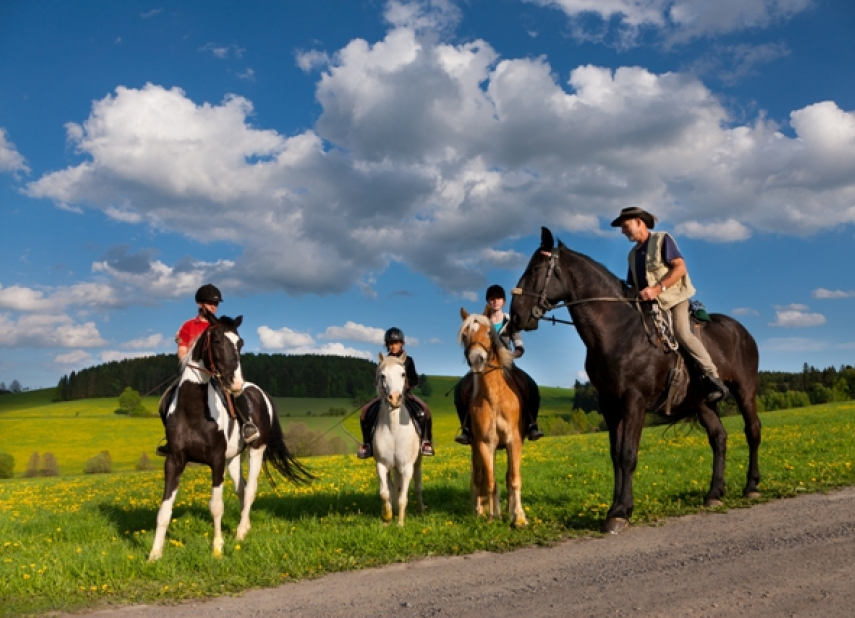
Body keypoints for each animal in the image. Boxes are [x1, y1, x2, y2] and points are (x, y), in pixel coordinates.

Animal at [149, 312, 312, 560]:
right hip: (233, 458)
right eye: (216, 341)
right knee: (241, 489)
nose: (235, 384)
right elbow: (164, 509)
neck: (193, 410)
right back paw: (245, 527)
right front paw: (154, 554)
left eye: (240, 343)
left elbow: (216, 506)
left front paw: (217, 548)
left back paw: (241, 532)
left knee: (251, 489)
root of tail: (261, 392)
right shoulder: (174, 460)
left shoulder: (216, 460)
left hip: (256, 449)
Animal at [374, 352, 424, 524]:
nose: (395, 398)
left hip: (417, 462)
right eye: (382, 375)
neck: (394, 429)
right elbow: (385, 493)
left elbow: (403, 497)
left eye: (403, 374)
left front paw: (400, 524)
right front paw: (388, 516)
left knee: (417, 486)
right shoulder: (381, 465)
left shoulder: (407, 466)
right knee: (394, 488)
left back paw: (421, 510)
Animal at [458, 308, 524, 524]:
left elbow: (513, 479)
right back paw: (481, 510)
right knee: (480, 476)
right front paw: (493, 515)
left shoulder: (513, 441)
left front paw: (519, 517)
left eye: (488, 332)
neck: (494, 396)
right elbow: (490, 481)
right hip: (477, 446)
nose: (477, 359)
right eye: (465, 335)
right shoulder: (485, 443)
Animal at [508, 229, 764, 532]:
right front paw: (615, 508)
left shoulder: (634, 401)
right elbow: (616, 455)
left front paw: (620, 512)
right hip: (703, 403)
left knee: (753, 431)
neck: (619, 331)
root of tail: (741, 330)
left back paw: (751, 486)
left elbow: (628, 454)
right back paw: (714, 493)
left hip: (745, 390)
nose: (516, 315)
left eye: (536, 268)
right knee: (719, 438)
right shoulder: (610, 404)